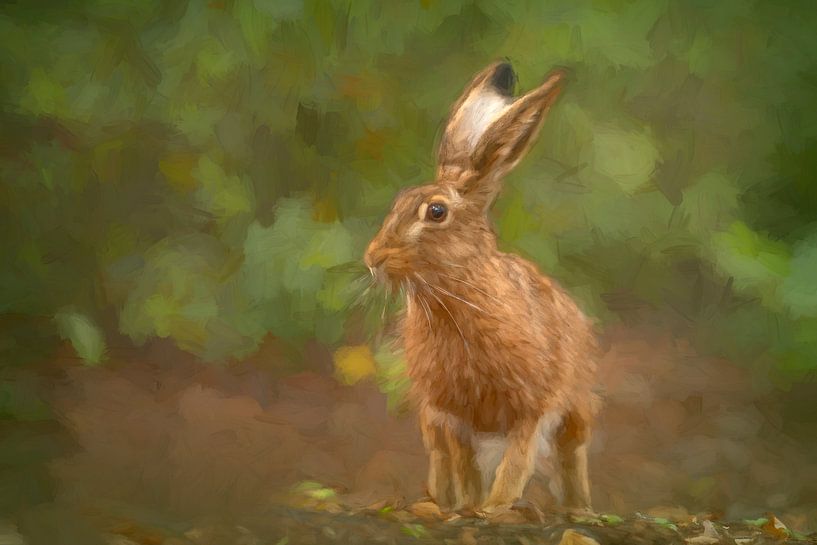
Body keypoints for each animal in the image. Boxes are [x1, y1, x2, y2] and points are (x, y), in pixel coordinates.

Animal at [363, 61, 599, 514]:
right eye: (398, 202)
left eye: (436, 212)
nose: (373, 259)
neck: (455, 293)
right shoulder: (451, 417)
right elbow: (465, 466)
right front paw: (471, 508)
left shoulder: (532, 408)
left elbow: (517, 462)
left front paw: (495, 508)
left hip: (575, 409)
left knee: (571, 456)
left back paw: (580, 509)